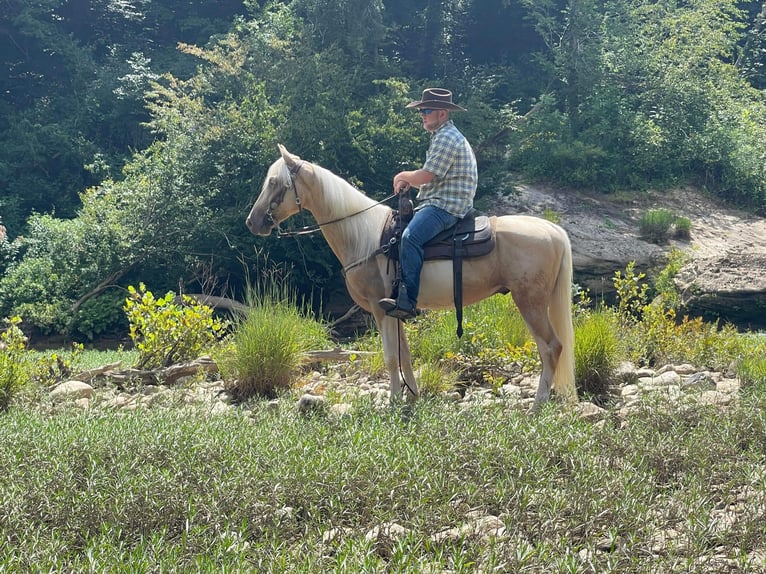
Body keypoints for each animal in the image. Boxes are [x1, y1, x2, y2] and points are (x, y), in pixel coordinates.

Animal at [246, 146, 576, 408]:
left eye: (275, 183)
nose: (253, 222)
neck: (364, 237)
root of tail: (552, 230)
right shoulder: (395, 309)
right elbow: (404, 354)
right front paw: (411, 397)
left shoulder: (380, 309)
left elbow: (391, 357)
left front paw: (392, 401)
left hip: (530, 302)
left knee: (551, 347)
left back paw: (537, 405)